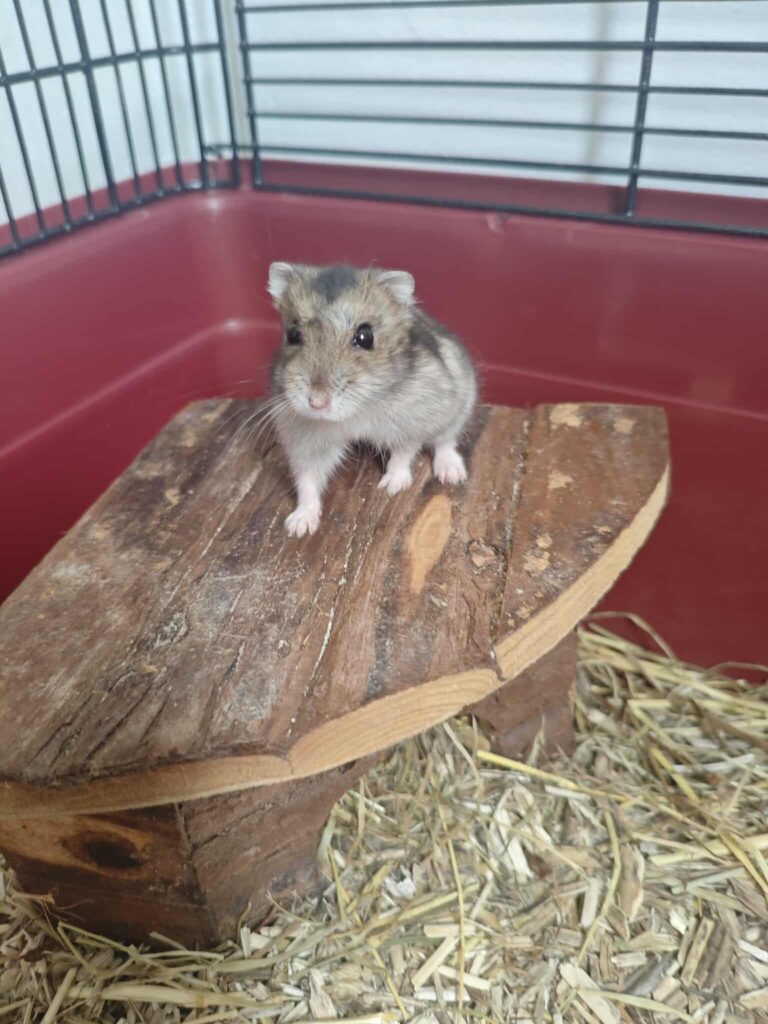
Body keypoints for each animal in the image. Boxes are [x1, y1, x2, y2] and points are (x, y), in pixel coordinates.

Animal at [267, 262, 477, 537]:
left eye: (365, 337)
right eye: (292, 334)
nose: (317, 403)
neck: (356, 412)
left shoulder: (412, 422)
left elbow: (403, 453)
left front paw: (389, 487)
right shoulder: (304, 439)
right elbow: (307, 480)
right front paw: (297, 527)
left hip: (460, 406)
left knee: (445, 441)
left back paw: (452, 474)